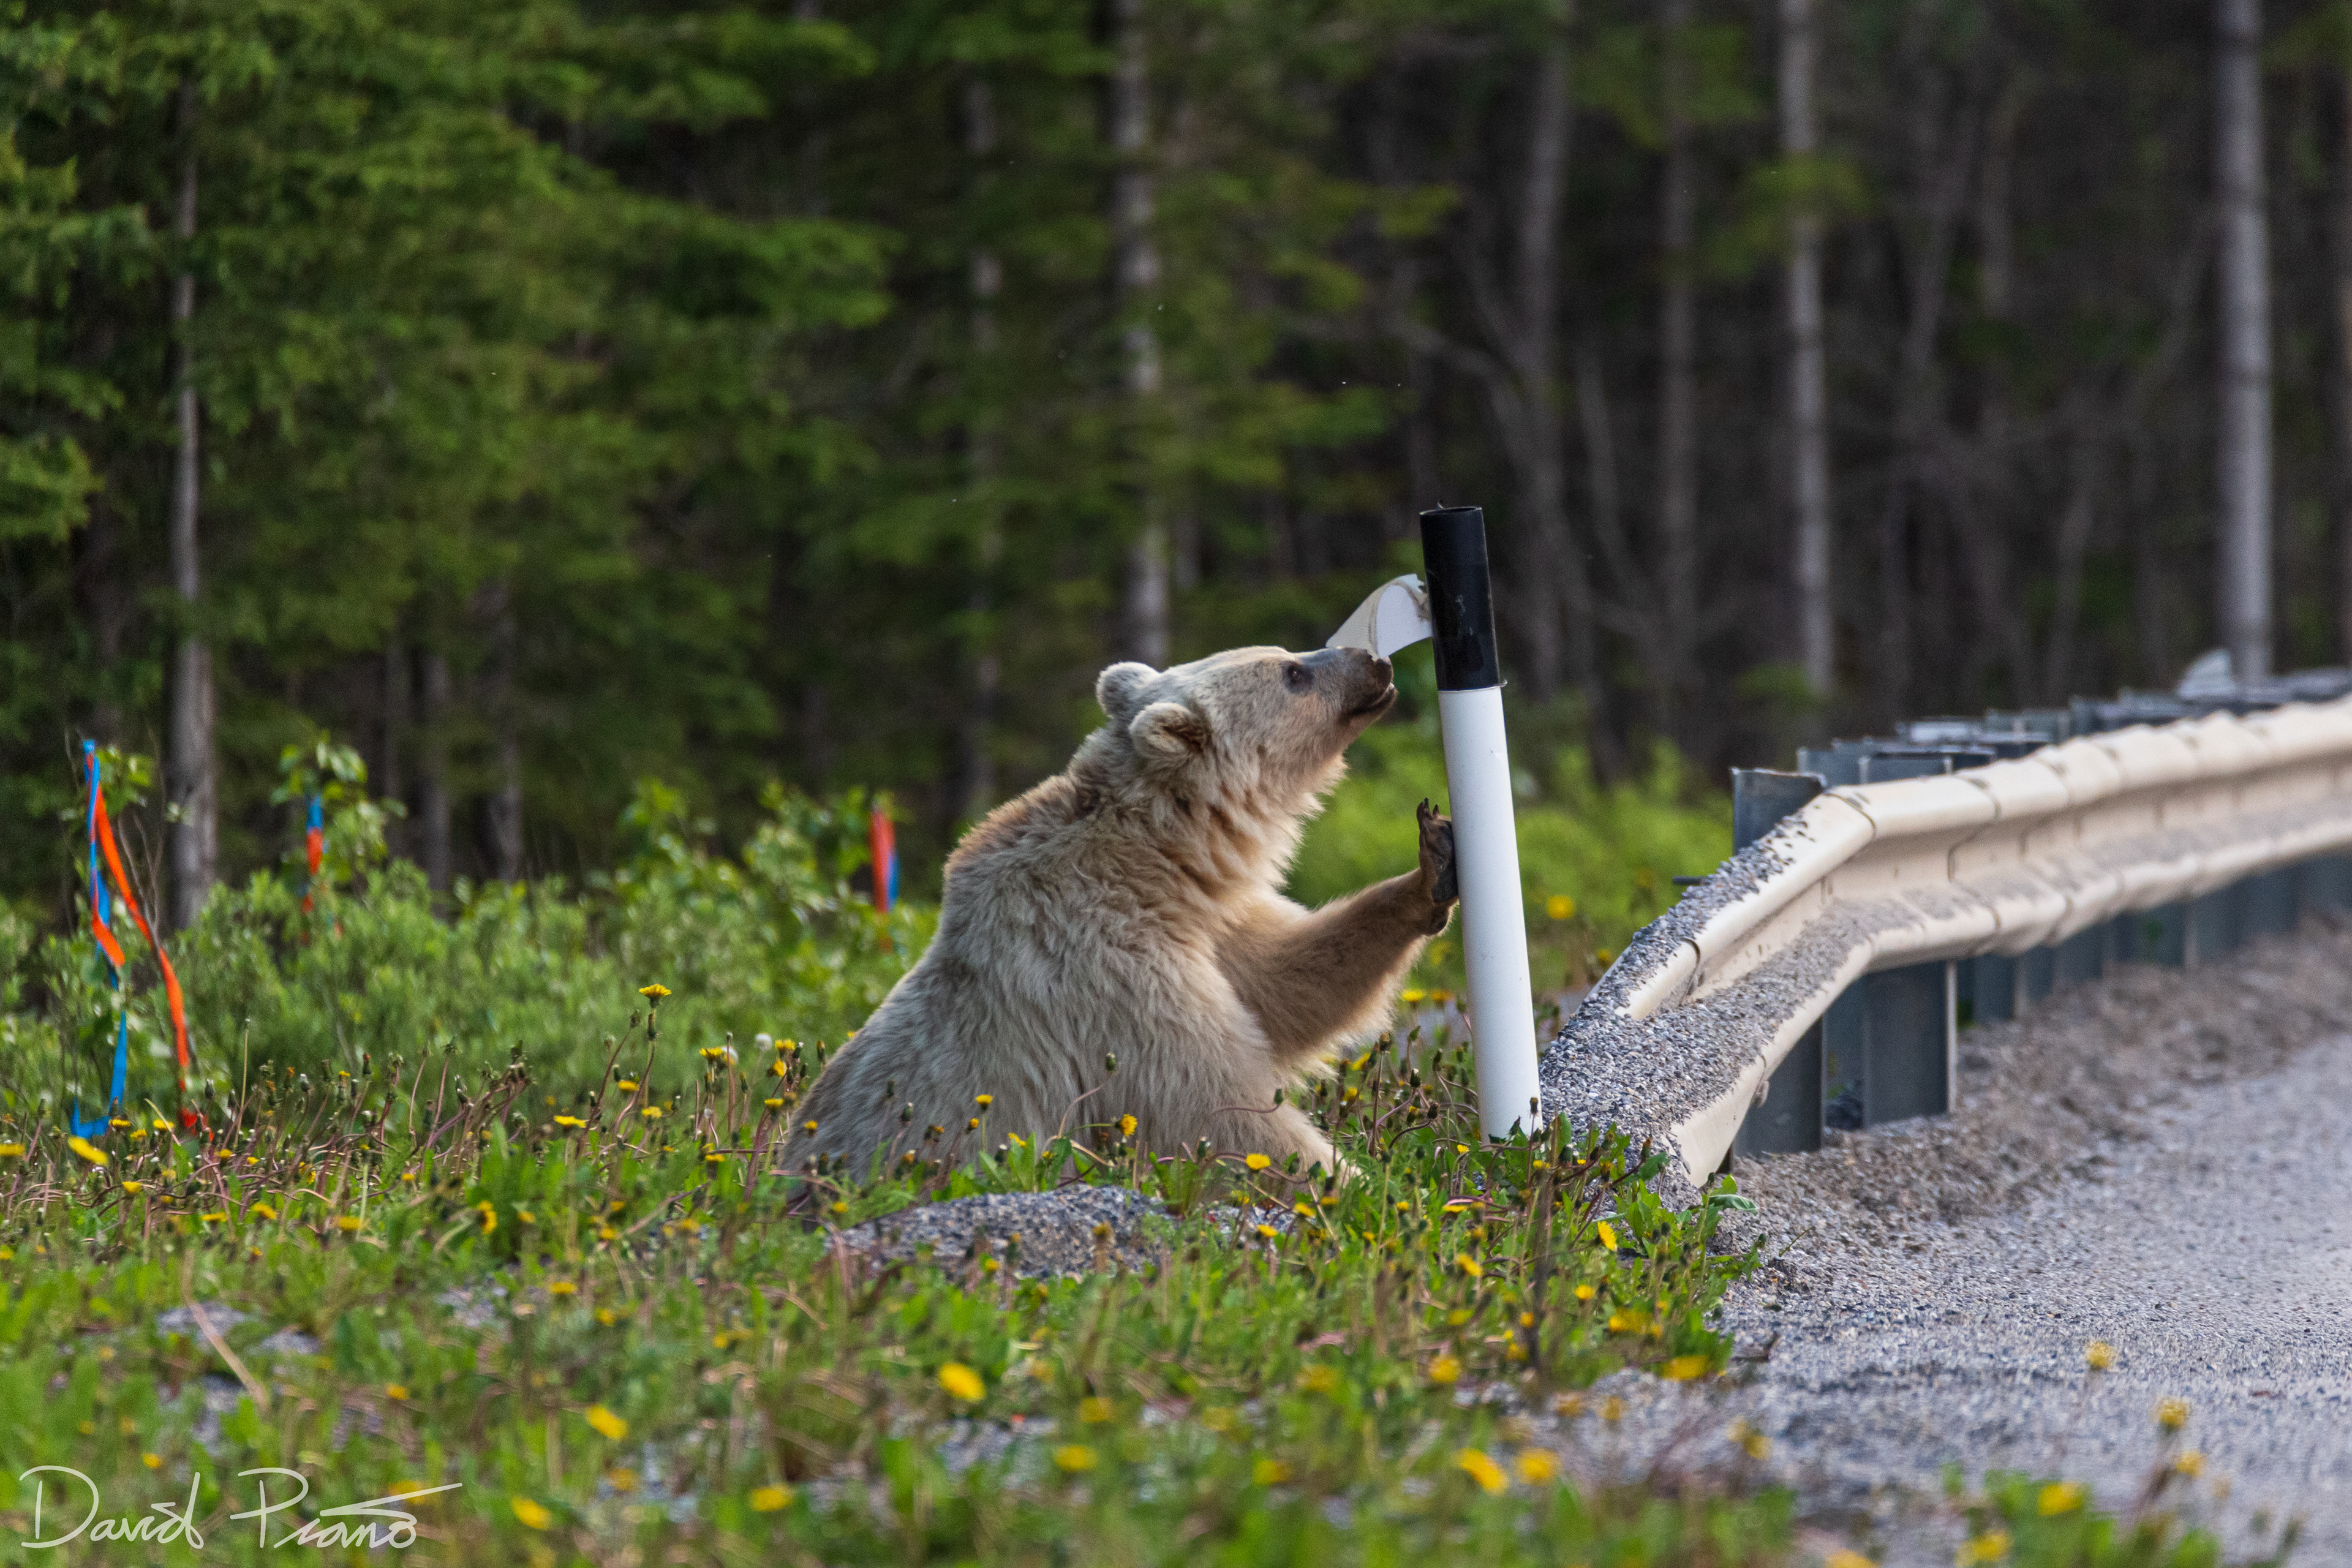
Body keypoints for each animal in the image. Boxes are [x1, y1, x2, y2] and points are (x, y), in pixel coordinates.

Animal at [786, 643, 1457, 1181]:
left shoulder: (1213, 919)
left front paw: (1435, 859)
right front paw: (1361, 1189)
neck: (1155, 862)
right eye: (1293, 671)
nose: (1374, 661)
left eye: (1294, 653)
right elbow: (1211, 1103)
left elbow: (1293, 980)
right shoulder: (1109, 972)